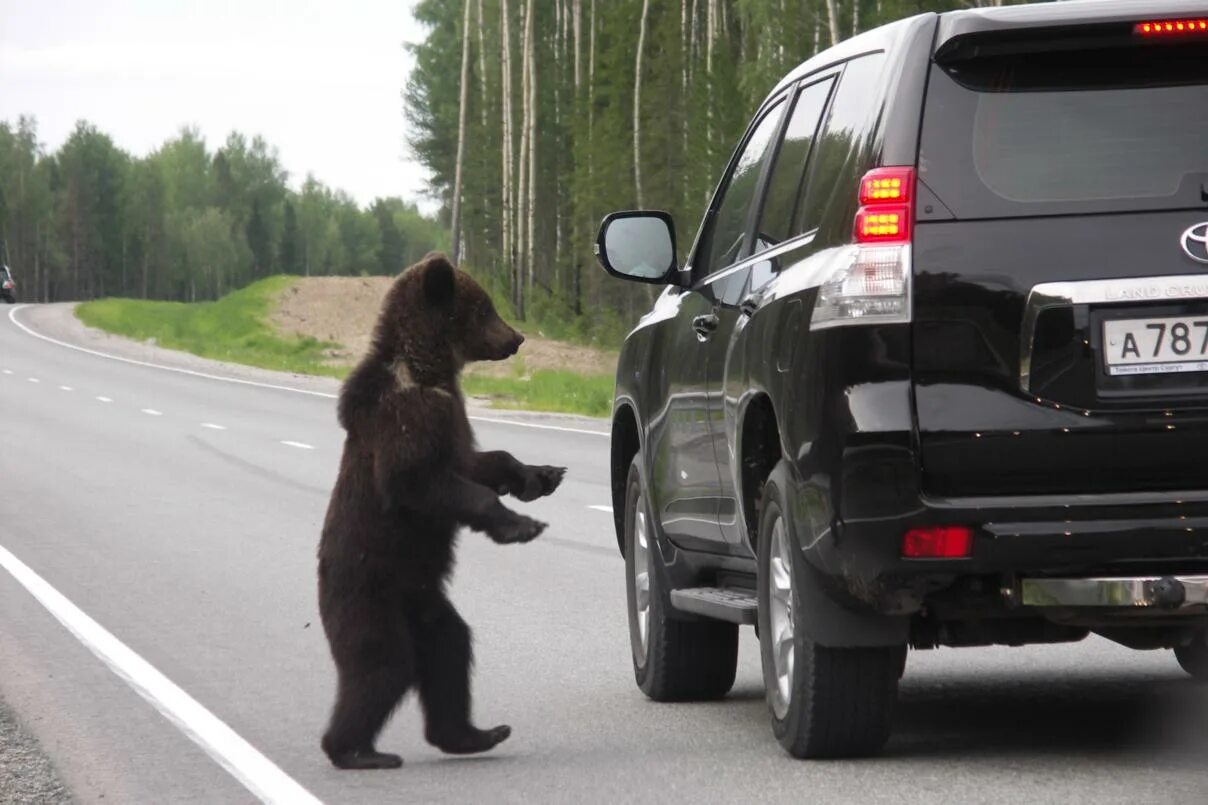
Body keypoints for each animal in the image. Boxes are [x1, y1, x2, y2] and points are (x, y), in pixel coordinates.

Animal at [318, 253, 567, 768]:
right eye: (485, 308)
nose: (517, 338)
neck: (429, 371)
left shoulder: (452, 419)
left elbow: (477, 462)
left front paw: (541, 475)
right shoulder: (407, 419)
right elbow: (420, 482)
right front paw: (522, 526)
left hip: (427, 605)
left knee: (451, 651)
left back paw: (476, 732)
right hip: (370, 595)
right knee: (383, 666)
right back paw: (357, 751)